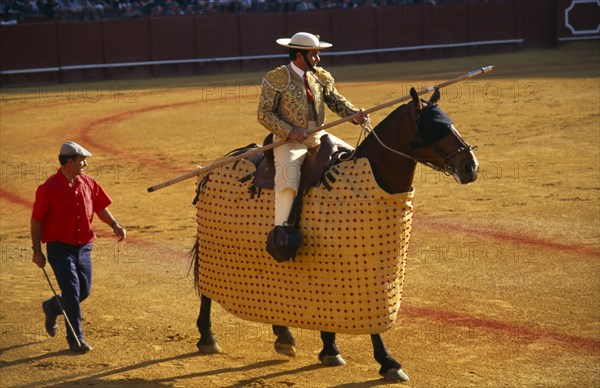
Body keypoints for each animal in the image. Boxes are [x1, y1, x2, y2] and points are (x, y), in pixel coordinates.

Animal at [191, 88, 478, 382]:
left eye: (450, 122)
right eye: (435, 126)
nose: (471, 166)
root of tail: (212, 167)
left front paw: (330, 348)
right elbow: (369, 321)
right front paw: (388, 362)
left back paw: (283, 336)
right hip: (211, 249)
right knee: (206, 288)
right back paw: (208, 337)